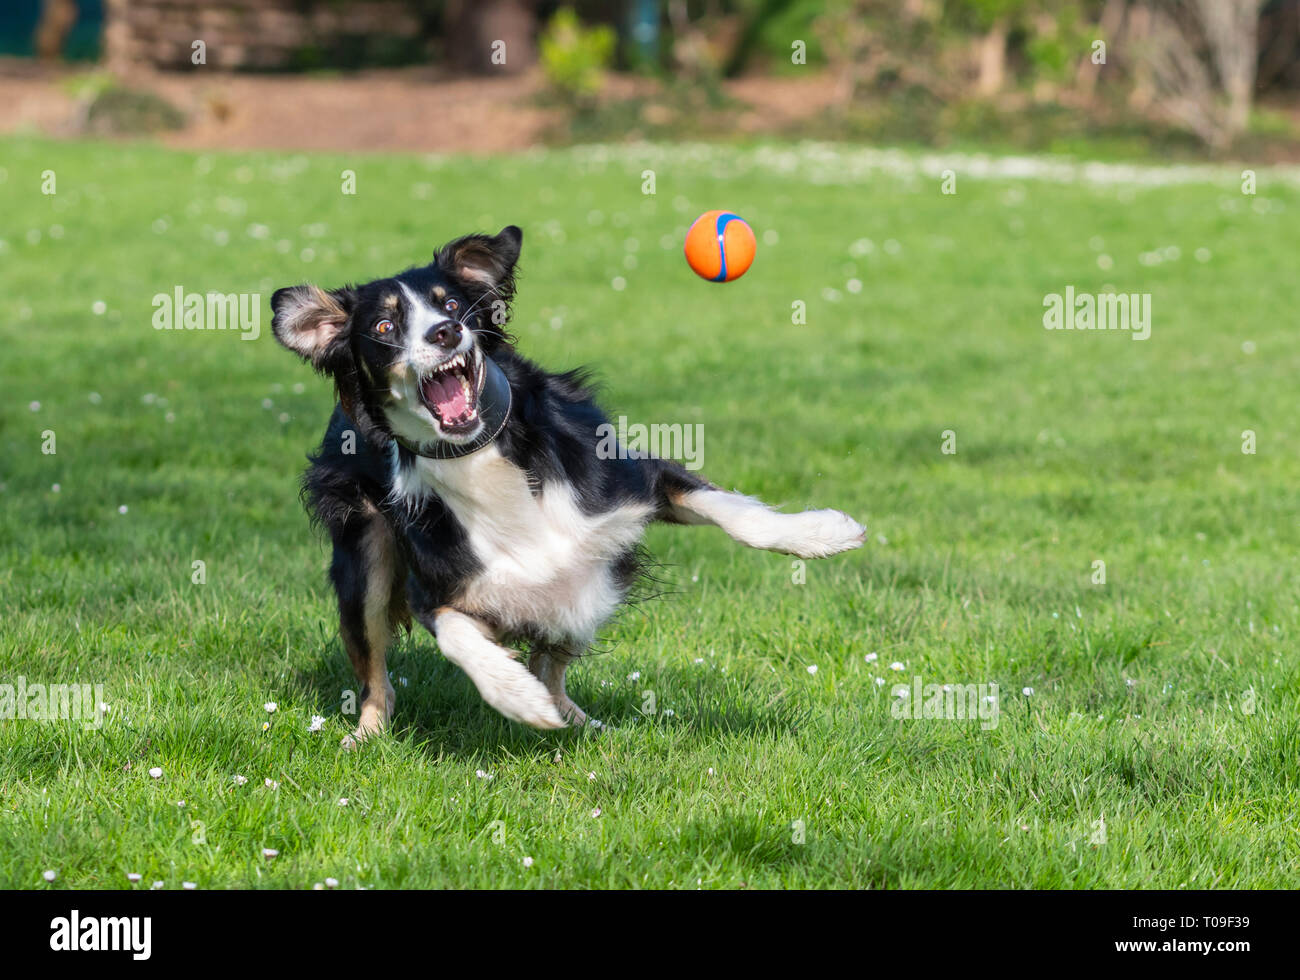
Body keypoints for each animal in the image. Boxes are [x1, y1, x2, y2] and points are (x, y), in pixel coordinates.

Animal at [271, 224, 863, 738]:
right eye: (385, 327)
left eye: (452, 305)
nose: (445, 332)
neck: (483, 453)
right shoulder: (439, 582)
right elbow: (457, 634)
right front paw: (515, 695)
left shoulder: (627, 481)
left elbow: (736, 513)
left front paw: (823, 534)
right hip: (365, 544)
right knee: (376, 669)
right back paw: (369, 734)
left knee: (555, 656)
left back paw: (577, 718)